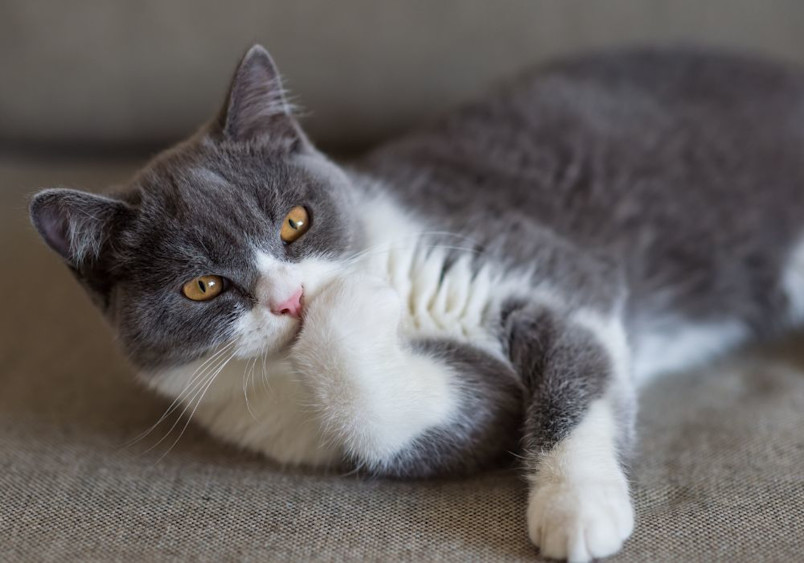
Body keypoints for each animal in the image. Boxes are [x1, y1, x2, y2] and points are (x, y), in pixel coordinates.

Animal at [28, 46, 804, 560]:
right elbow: (441, 418)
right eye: (202, 286)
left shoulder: (542, 263)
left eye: (295, 221)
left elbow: (577, 371)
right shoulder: (280, 421)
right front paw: (351, 307)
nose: (290, 298)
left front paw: (577, 508)